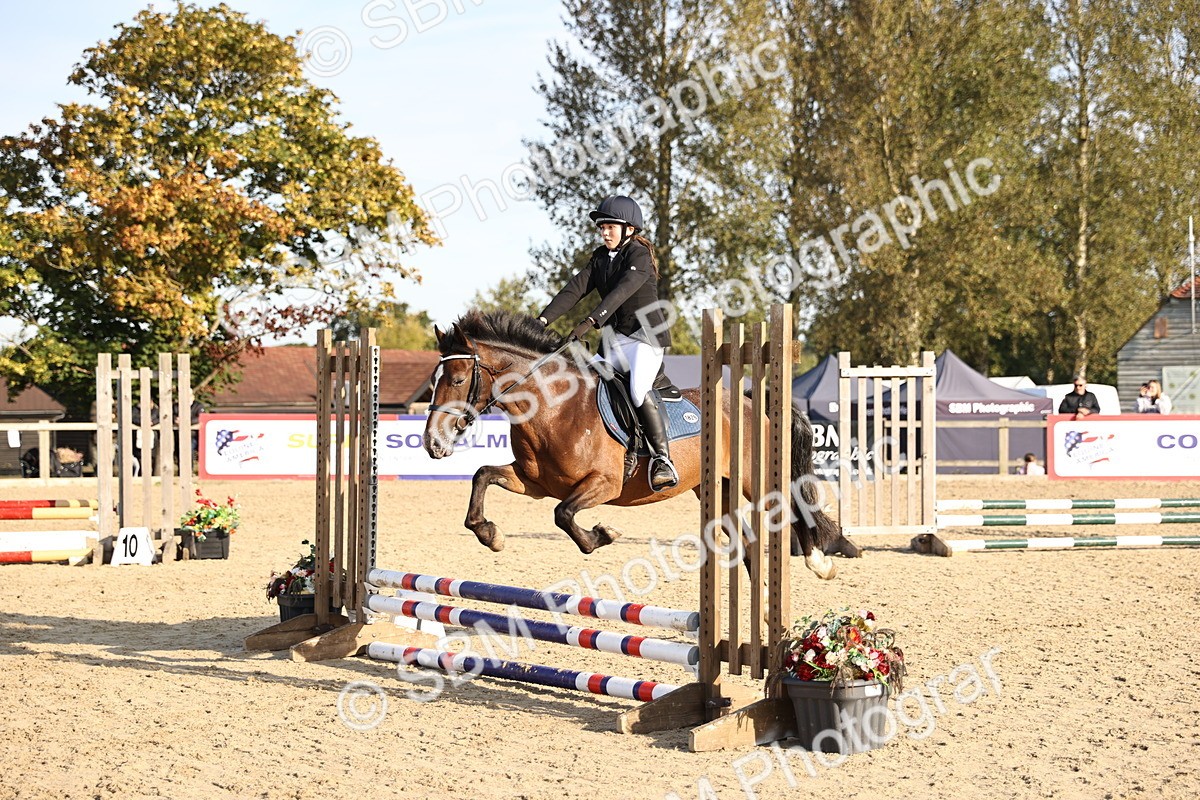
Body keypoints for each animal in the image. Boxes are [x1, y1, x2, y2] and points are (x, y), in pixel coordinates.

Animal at [423, 309, 847, 580]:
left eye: (458, 380)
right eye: (435, 379)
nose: (432, 443)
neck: (554, 406)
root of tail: (750, 401)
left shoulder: (604, 484)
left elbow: (563, 515)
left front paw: (602, 535)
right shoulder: (535, 483)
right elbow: (482, 475)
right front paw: (490, 535)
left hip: (754, 480)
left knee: (794, 504)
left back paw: (819, 562)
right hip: (719, 488)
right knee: (744, 541)